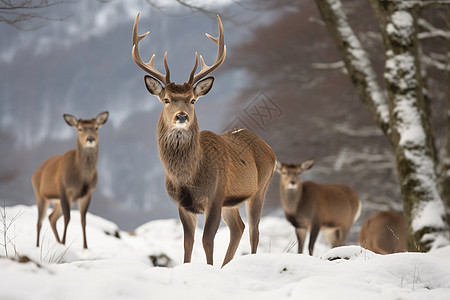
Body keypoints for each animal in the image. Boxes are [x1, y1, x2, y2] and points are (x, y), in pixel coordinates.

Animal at [32, 112, 108, 248]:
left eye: (96, 128)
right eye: (80, 129)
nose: (90, 139)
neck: (82, 179)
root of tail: (35, 173)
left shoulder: (87, 193)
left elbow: (83, 220)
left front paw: (85, 247)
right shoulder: (64, 189)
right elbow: (67, 218)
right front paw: (64, 242)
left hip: (59, 201)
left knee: (51, 217)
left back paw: (57, 242)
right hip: (40, 195)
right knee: (39, 221)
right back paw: (38, 245)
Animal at [132, 12, 276, 266]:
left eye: (192, 100)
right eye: (166, 99)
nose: (182, 116)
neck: (188, 177)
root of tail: (269, 149)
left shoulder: (215, 195)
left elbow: (207, 240)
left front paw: (209, 268)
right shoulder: (182, 204)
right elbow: (187, 243)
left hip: (260, 188)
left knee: (253, 231)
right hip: (232, 200)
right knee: (238, 228)